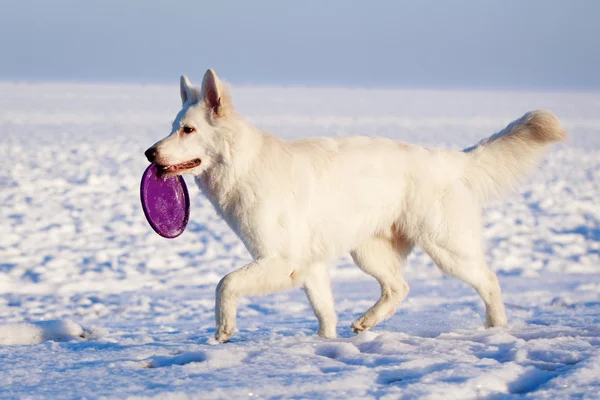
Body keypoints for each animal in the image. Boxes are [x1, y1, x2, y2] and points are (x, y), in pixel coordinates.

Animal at [145, 69, 568, 344]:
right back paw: (367, 322)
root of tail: (451, 159)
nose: (149, 153)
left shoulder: (282, 261)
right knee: (399, 287)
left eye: (189, 130)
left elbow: (225, 283)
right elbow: (325, 312)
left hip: (448, 250)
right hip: (368, 252)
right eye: (172, 127)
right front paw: (327, 344)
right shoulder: (309, 267)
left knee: (489, 280)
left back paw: (497, 329)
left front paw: (223, 329)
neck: (245, 164)